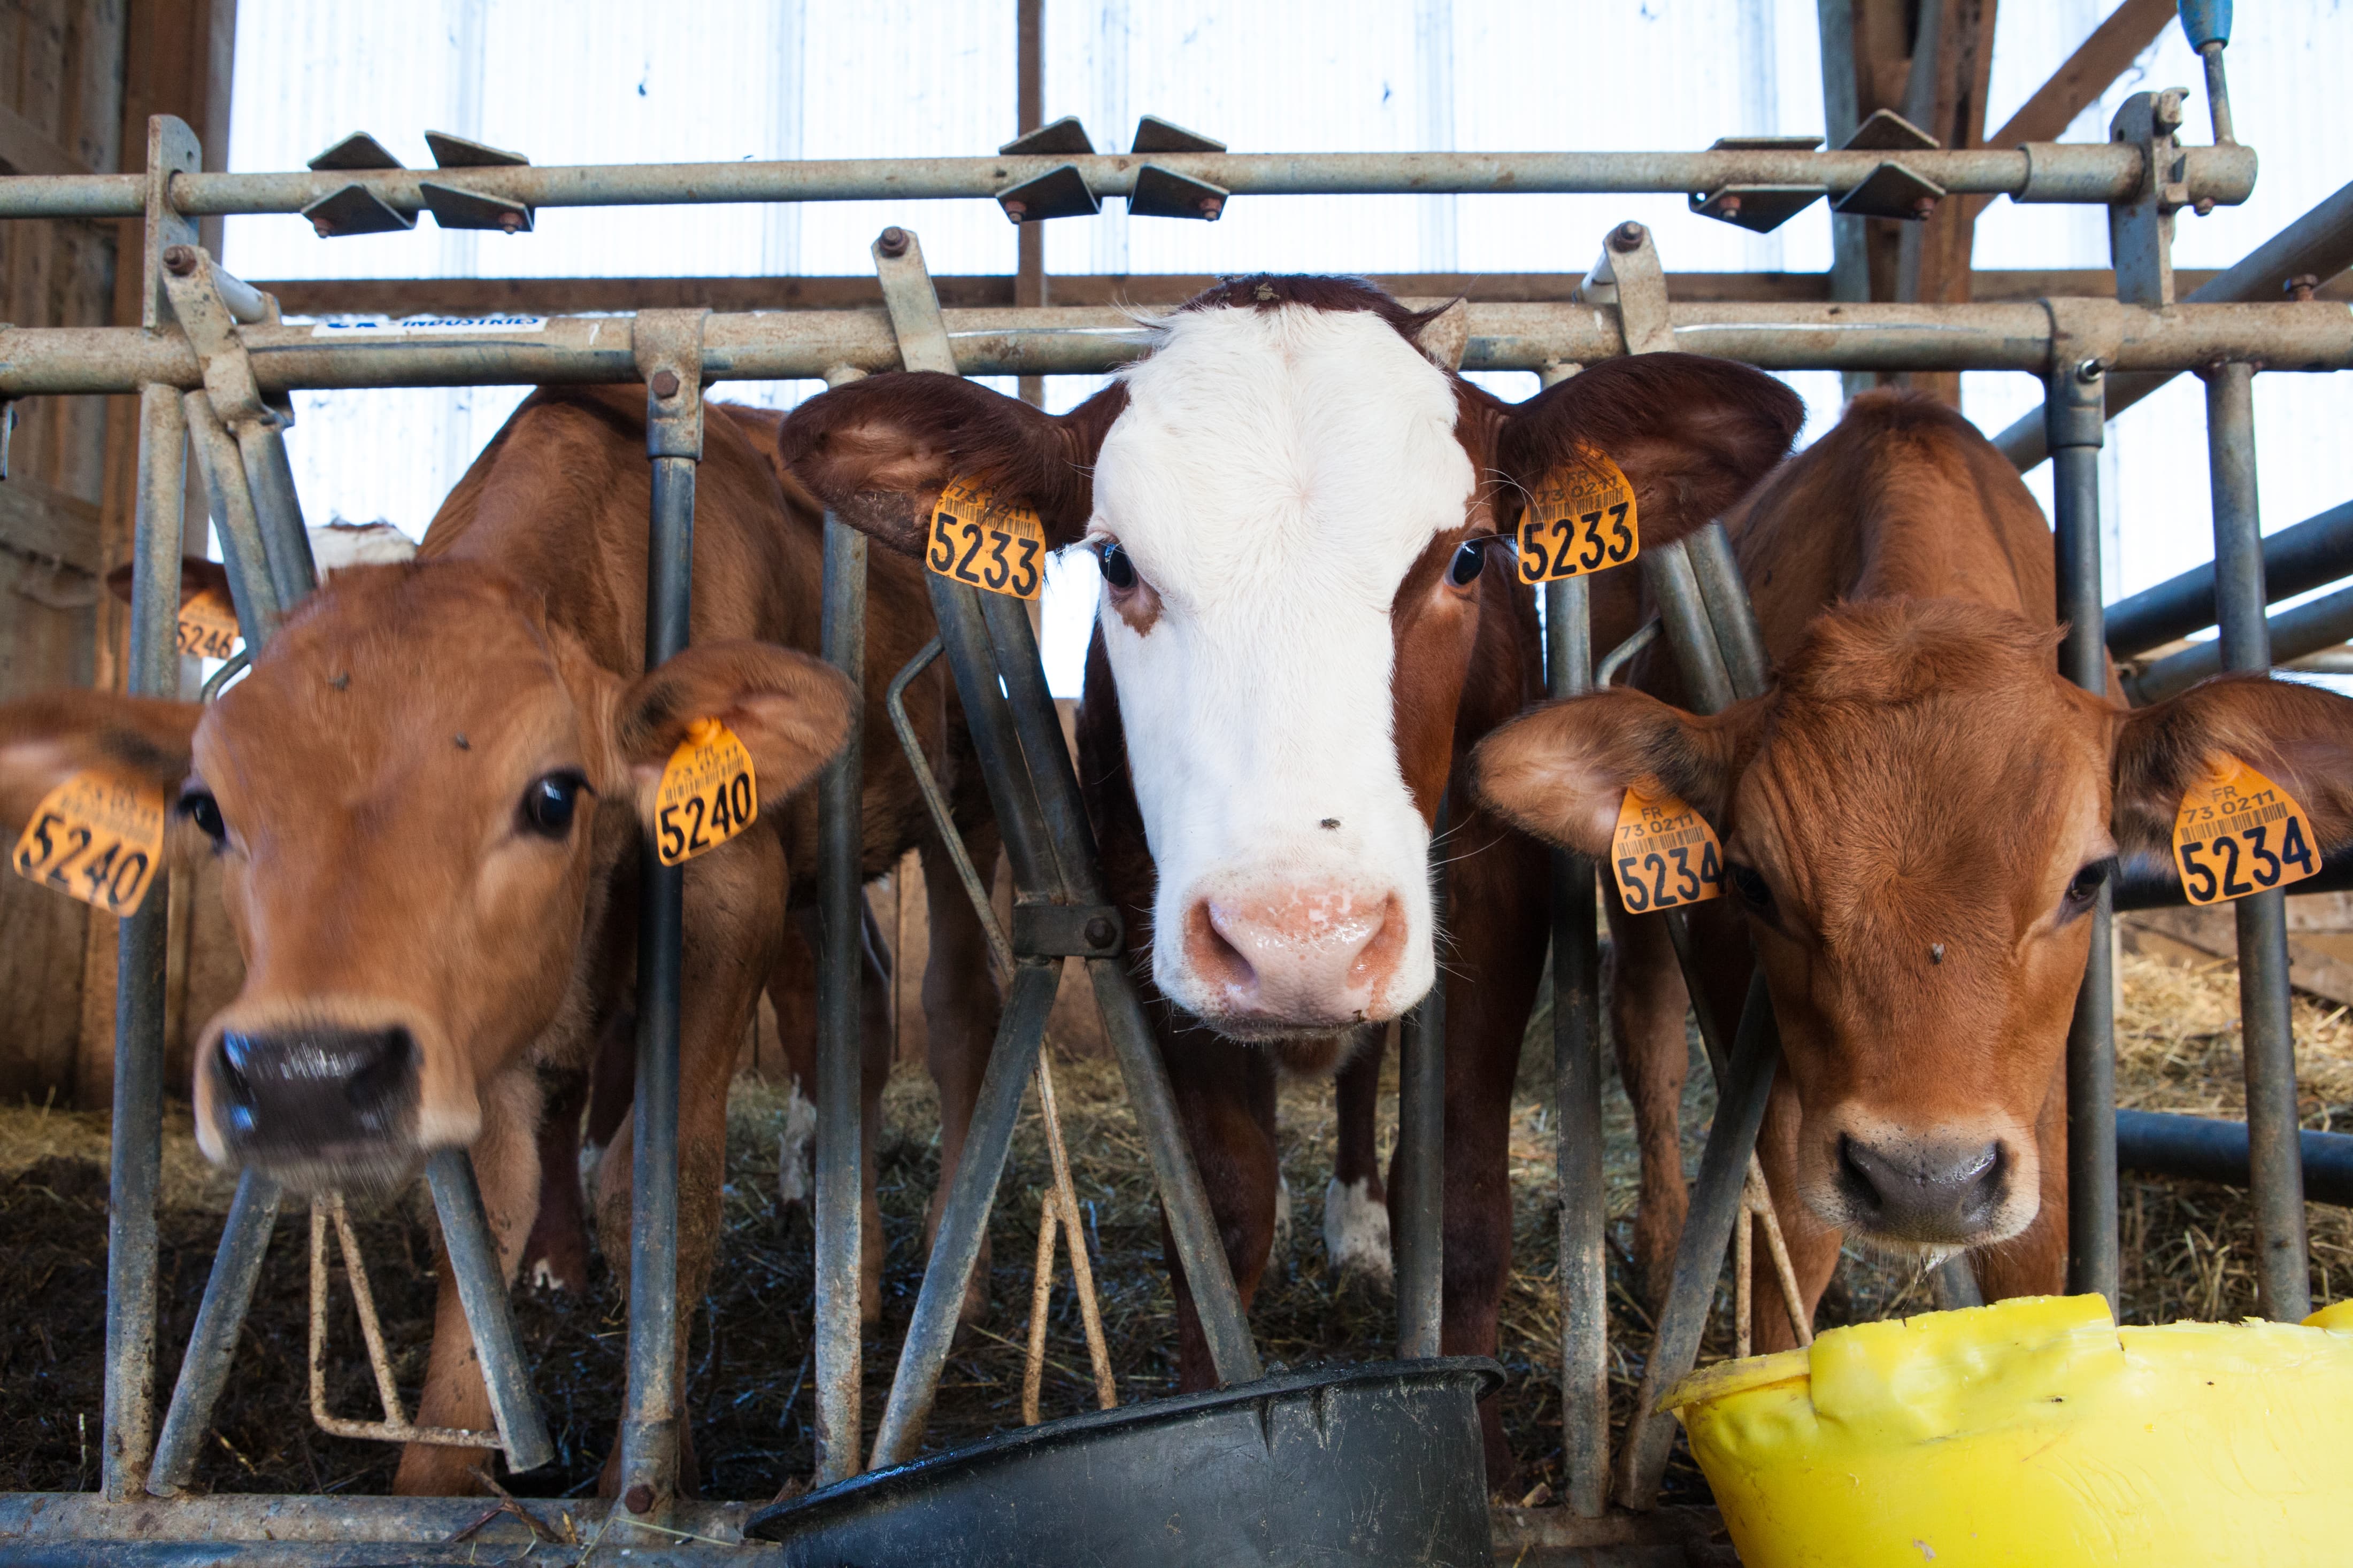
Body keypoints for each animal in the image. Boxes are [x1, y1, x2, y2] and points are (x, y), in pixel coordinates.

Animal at [772, 276, 1797, 1476]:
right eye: (1115, 561)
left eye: (1468, 556)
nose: (1301, 935)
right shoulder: (1148, 911)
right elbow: (1220, 1215)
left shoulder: (1498, 910)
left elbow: (1465, 1205)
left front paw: (1489, 1454)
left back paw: (1360, 1224)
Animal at [1478, 385, 2353, 1345]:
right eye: (1754, 883)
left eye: (2089, 878)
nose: (1922, 1182)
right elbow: (1796, 1255)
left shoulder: (2038, 1082)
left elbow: (2032, 1248)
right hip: (1634, 901)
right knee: (1649, 1037)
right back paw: (1669, 1248)